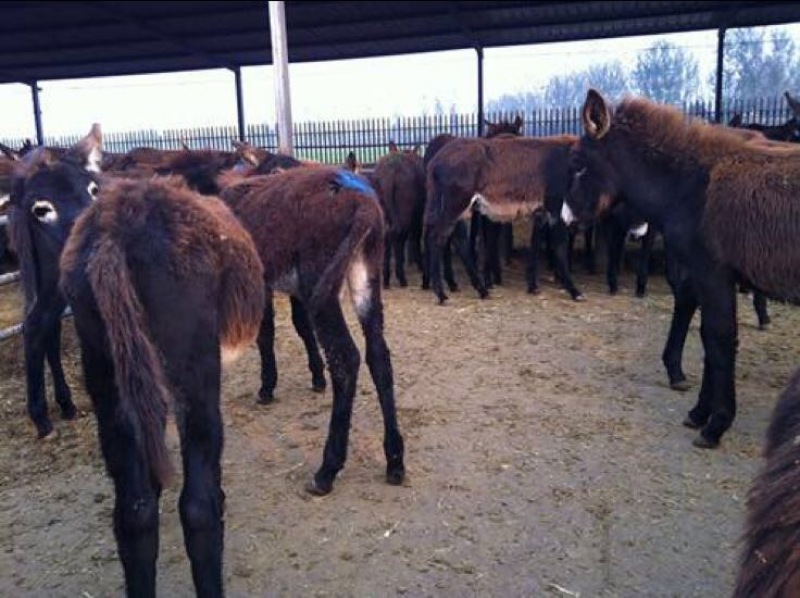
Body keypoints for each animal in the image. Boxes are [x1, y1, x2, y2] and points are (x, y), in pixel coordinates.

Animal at [217, 166, 405, 496]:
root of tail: (363, 204)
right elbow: (300, 327)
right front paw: (316, 378)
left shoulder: (267, 285)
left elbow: (266, 333)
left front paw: (267, 388)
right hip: (364, 274)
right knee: (379, 356)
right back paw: (394, 461)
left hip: (323, 281)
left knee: (346, 359)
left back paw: (327, 470)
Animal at [563, 88, 800, 448]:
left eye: (578, 165)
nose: (564, 217)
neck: (691, 185)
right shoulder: (706, 273)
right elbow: (706, 337)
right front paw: (700, 411)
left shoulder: (713, 271)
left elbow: (719, 338)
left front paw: (716, 424)